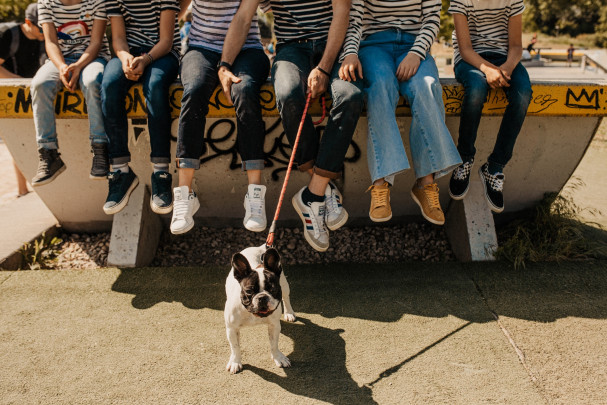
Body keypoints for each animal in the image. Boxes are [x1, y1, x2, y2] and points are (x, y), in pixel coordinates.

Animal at [226, 243, 296, 372]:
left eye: (273, 289)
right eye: (249, 291)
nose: (262, 297)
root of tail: (261, 247)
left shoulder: (274, 325)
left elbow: (274, 344)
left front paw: (278, 357)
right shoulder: (232, 329)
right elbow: (235, 347)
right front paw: (235, 362)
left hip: (284, 285)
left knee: (286, 297)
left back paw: (289, 313)